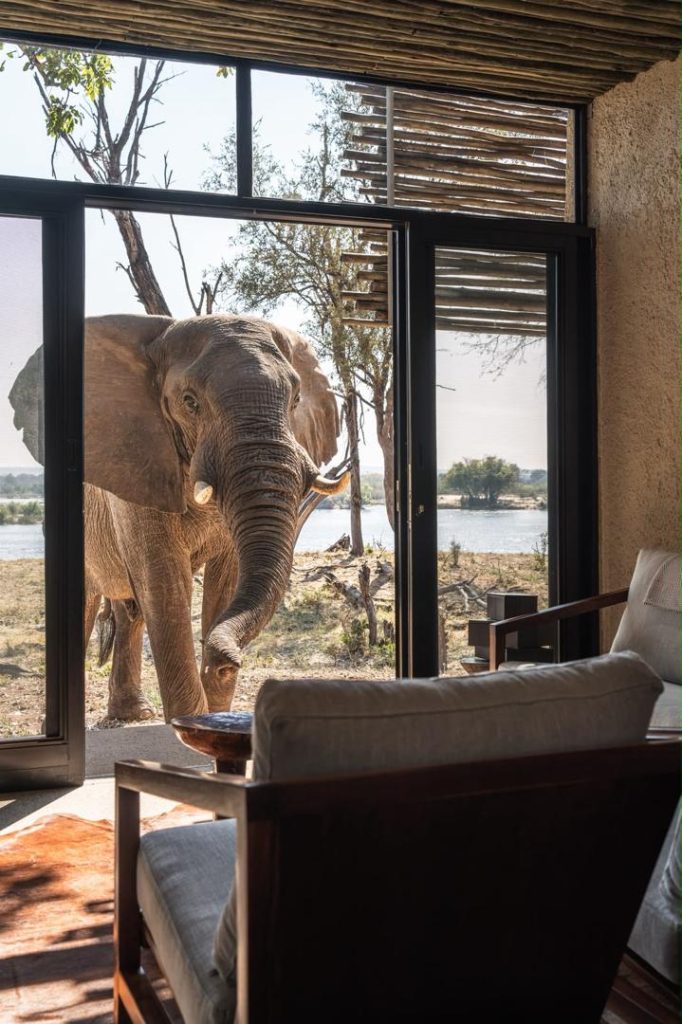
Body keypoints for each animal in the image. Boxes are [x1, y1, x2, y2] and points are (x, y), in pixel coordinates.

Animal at [10, 313, 347, 721]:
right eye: (190, 402)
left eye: (296, 399)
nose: (226, 661)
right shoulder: (140, 464)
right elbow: (165, 585)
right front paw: (192, 722)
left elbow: (226, 579)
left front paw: (213, 714)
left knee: (130, 609)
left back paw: (134, 715)